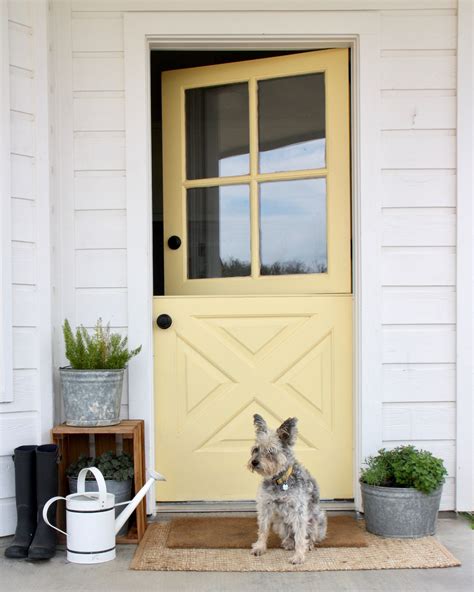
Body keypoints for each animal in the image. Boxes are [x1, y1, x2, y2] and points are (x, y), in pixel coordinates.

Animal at [248, 414, 326, 560]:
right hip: (280, 523)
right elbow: (263, 529)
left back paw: (309, 544)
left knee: (310, 535)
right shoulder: (265, 506)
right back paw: (289, 542)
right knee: (289, 534)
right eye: (256, 449)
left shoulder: (299, 510)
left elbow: (300, 535)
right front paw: (260, 547)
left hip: (317, 519)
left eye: (271, 451)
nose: (254, 462)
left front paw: (299, 556)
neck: (279, 480)